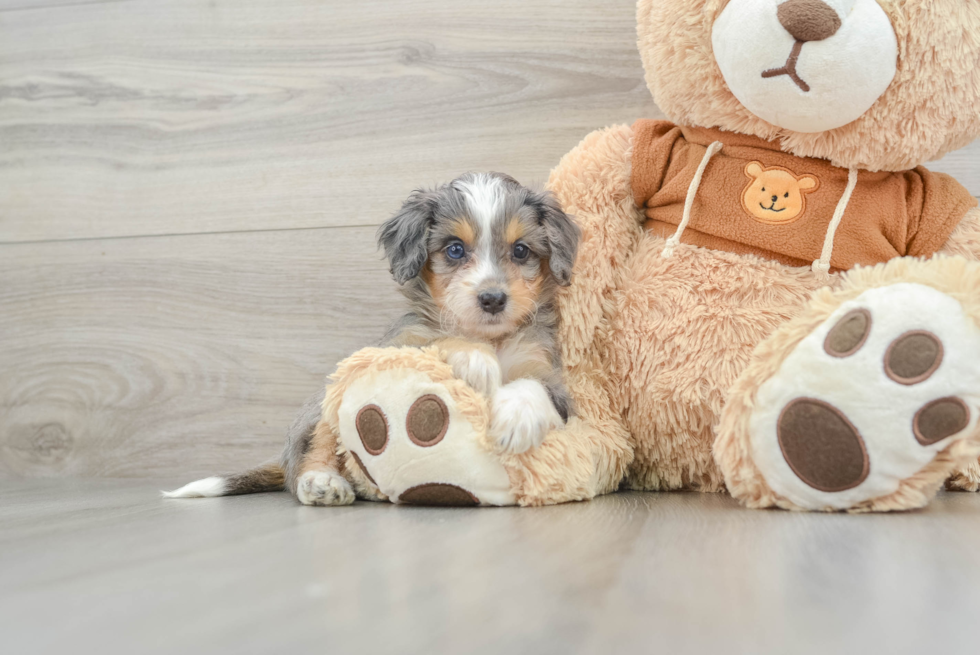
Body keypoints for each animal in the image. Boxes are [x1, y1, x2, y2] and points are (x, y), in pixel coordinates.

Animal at [165, 173, 580, 508]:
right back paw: (322, 482)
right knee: (312, 451)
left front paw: (516, 418)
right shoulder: (395, 347)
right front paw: (472, 359)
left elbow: (534, 386)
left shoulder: (552, 376)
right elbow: (437, 341)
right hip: (323, 406)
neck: (488, 337)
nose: (493, 299)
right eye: (455, 249)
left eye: (521, 250)